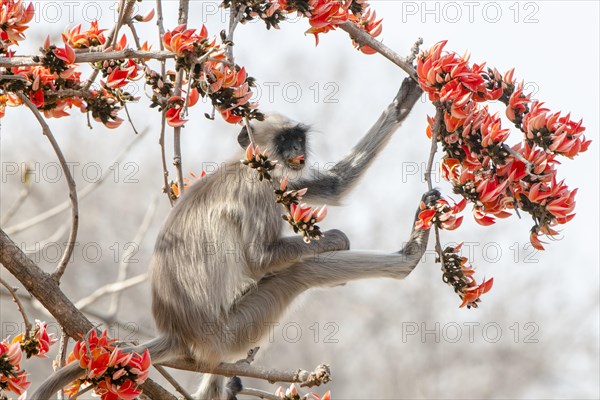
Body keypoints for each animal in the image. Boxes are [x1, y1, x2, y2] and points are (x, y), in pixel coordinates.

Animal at [30, 76, 438, 398]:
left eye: (298, 138)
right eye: (285, 140)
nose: (297, 152)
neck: (249, 164)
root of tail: (177, 331)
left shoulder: (278, 181)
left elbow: (335, 186)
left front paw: (403, 101)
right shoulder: (257, 188)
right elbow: (260, 259)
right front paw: (336, 239)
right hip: (231, 331)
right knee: (299, 273)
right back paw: (408, 257)